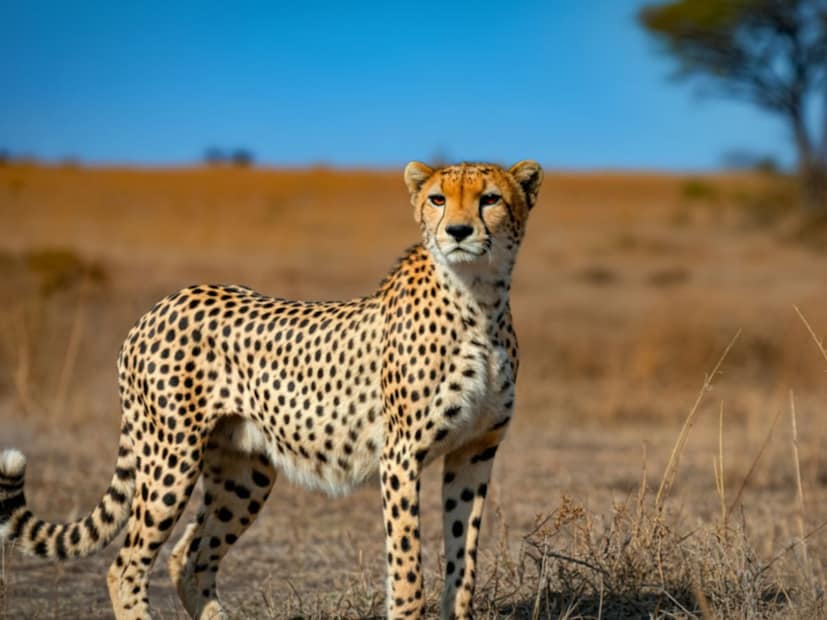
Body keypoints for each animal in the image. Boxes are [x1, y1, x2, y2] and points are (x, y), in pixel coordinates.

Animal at [0, 159, 543, 619]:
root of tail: (157, 307)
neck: (479, 300)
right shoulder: (401, 456)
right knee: (126, 564)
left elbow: (462, 557)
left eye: (490, 198)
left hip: (244, 471)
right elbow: (408, 566)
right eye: (437, 199)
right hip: (171, 457)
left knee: (190, 556)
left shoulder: (475, 451)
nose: (458, 231)